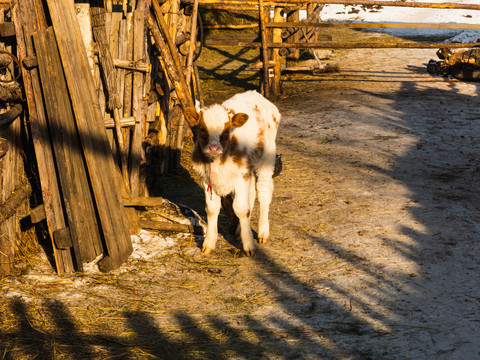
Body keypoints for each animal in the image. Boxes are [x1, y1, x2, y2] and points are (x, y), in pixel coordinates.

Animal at [185, 89, 282, 256]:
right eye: (202, 129)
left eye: (226, 131)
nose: (214, 148)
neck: (219, 161)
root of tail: (256, 94)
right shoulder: (206, 179)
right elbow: (212, 209)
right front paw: (209, 243)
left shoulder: (240, 175)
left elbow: (241, 209)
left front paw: (248, 245)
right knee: (252, 194)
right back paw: (239, 231)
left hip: (267, 156)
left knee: (263, 190)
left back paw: (263, 232)